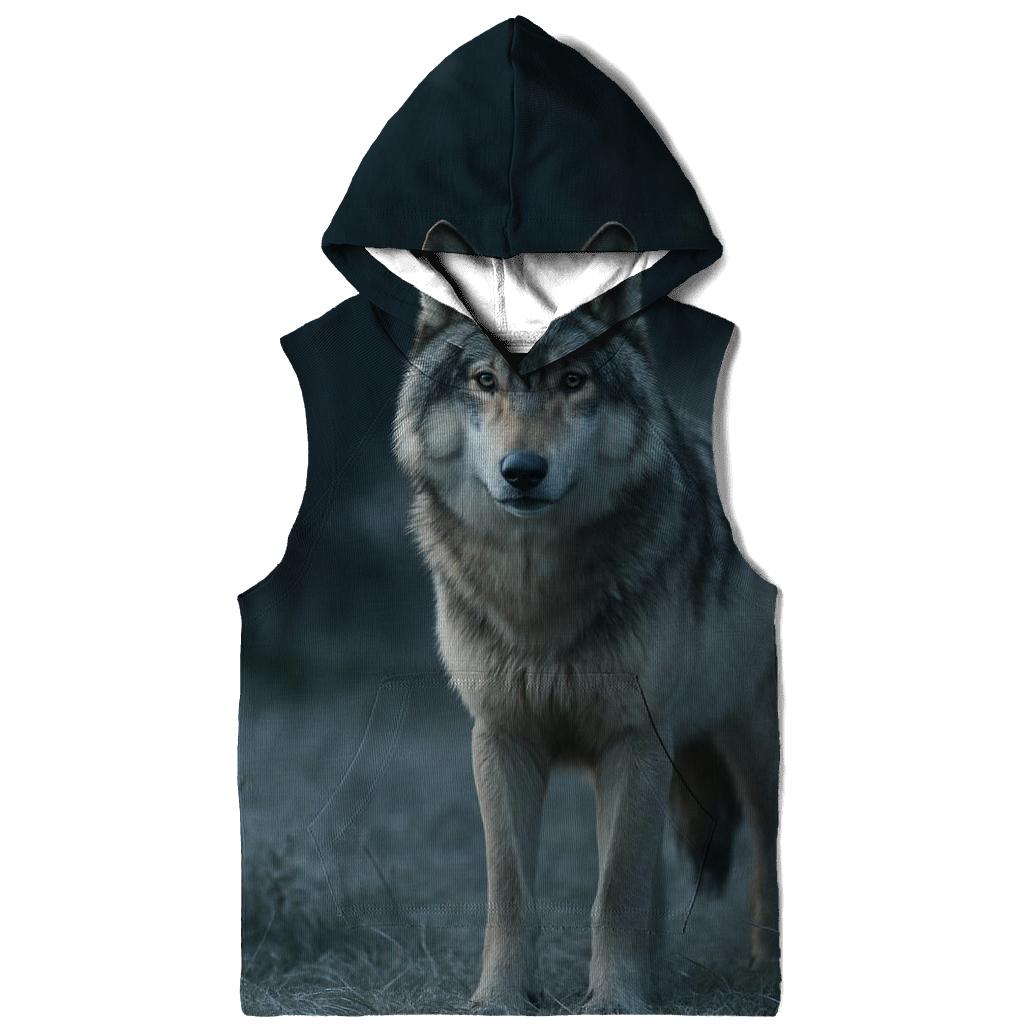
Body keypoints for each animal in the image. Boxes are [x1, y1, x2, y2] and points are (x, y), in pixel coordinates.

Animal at [392, 222, 779, 1012]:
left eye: (573, 380)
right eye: (485, 380)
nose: (523, 472)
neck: (537, 600)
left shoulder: (635, 738)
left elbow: (616, 888)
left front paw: (615, 1003)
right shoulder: (503, 740)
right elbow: (515, 889)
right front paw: (500, 999)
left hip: (750, 742)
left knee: (765, 849)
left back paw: (763, 967)